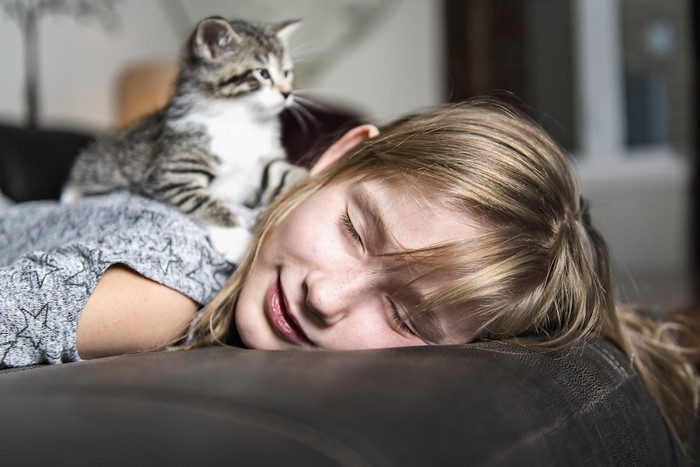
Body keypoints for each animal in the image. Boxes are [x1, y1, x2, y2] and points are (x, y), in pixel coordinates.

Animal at [61, 16, 308, 264]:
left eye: (287, 73)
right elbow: (202, 200)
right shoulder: (172, 173)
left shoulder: (262, 162)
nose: (288, 93)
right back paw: (71, 195)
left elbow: (285, 172)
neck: (242, 119)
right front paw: (235, 238)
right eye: (263, 73)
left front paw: (305, 184)